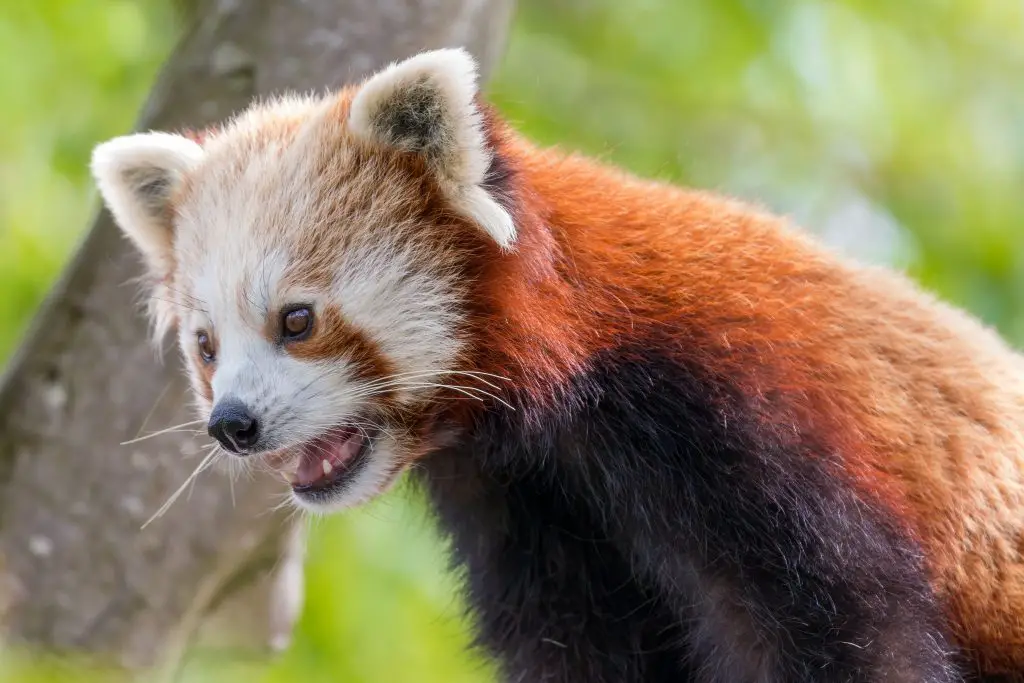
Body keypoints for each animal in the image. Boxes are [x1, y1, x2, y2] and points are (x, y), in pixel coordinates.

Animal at [92, 49, 1019, 683]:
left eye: (296, 320)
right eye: (207, 346)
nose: (232, 424)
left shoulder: (764, 433)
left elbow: (851, 637)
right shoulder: (529, 511)